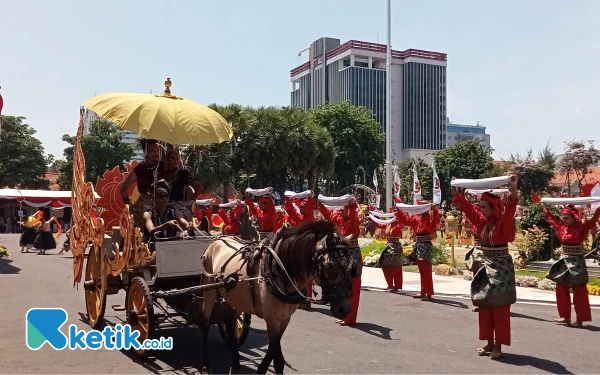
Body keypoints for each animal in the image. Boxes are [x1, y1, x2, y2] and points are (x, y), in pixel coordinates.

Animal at [200, 222, 356, 374]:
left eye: (351, 266)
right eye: (330, 267)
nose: (346, 309)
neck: (280, 271)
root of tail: (218, 240)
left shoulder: (284, 318)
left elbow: (272, 352)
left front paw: (261, 369)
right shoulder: (272, 319)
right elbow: (278, 360)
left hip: (233, 297)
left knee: (231, 323)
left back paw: (236, 363)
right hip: (209, 292)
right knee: (205, 325)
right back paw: (206, 365)